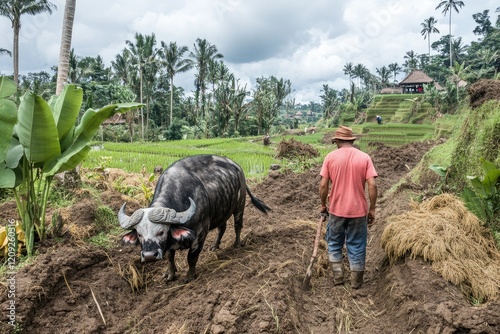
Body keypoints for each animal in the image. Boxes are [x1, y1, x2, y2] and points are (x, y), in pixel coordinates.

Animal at [117, 154, 272, 282]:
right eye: (139, 234)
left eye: (161, 231)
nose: (149, 255)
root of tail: (238, 167)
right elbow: (170, 257)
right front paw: (170, 274)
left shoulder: (200, 233)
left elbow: (191, 258)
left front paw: (189, 276)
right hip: (221, 211)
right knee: (222, 227)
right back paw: (215, 246)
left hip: (240, 206)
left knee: (237, 226)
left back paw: (237, 244)